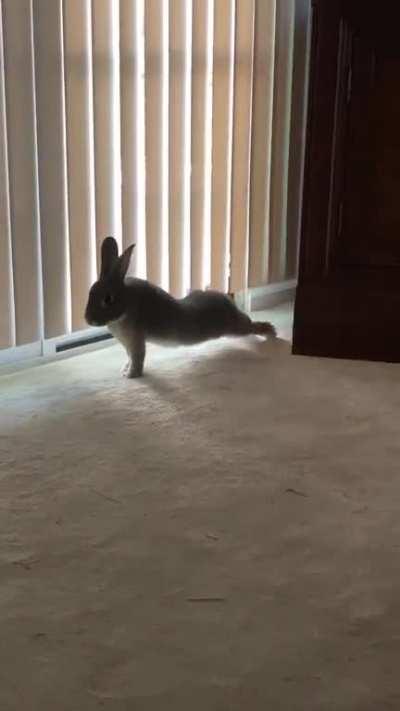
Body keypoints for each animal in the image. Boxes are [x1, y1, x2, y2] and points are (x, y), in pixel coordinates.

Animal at [85, 236, 276, 378]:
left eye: (108, 299)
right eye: (90, 291)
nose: (88, 319)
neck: (126, 302)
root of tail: (229, 302)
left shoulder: (136, 340)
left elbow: (138, 358)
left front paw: (131, 375)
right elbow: (130, 358)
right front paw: (125, 369)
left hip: (233, 328)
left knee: (250, 325)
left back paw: (270, 331)